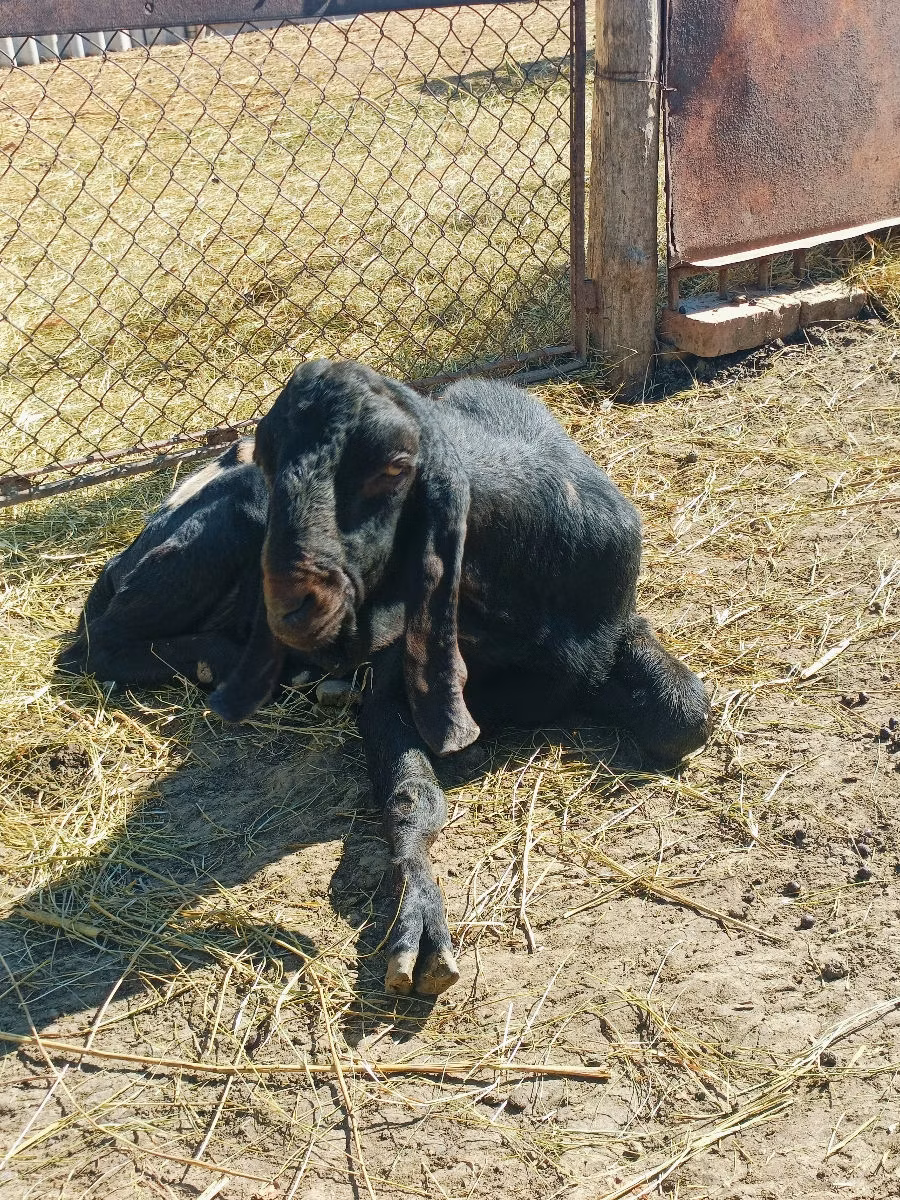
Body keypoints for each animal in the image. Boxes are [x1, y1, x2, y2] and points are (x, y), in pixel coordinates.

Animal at [59, 360, 711, 997]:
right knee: (102, 641)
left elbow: (686, 716)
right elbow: (411, 798)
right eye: (269, 462)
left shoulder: (614, 629)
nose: (289, 604)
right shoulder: (394, 684)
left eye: (394, 469)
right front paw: (420, 925)